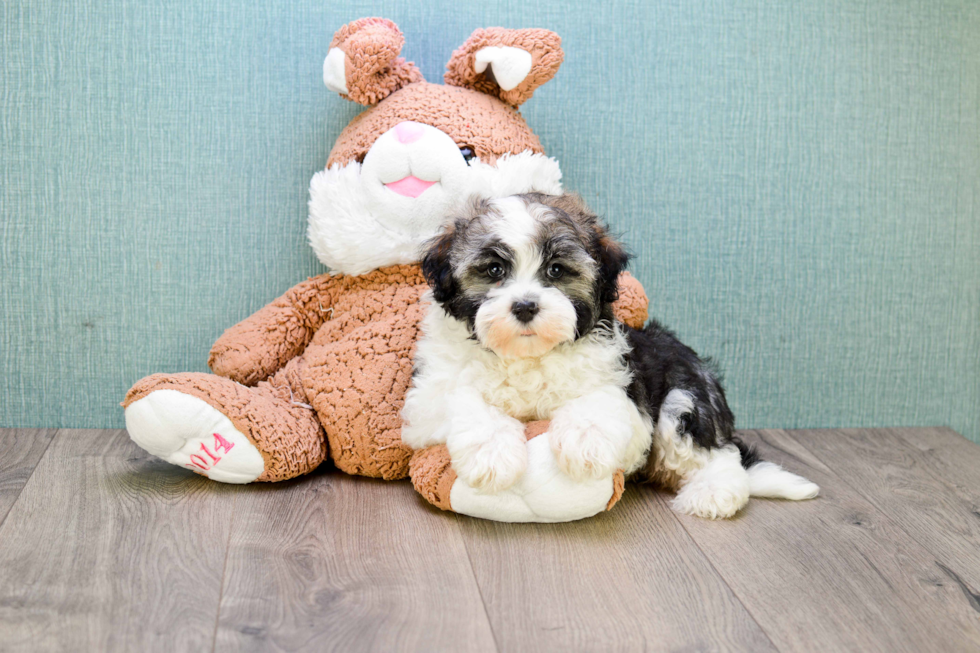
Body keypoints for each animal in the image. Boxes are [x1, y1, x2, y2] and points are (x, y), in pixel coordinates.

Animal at [400, 191, 820, 516]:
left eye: (556, 270)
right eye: (493, 269)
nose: (525, 306)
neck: (526, 355)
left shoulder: (623, 386)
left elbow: (597, 402)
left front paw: (584, 444)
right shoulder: (427, 399)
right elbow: (463, 399)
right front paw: (494, 454)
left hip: (685, 399)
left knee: (719, 454)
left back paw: (713, 493)